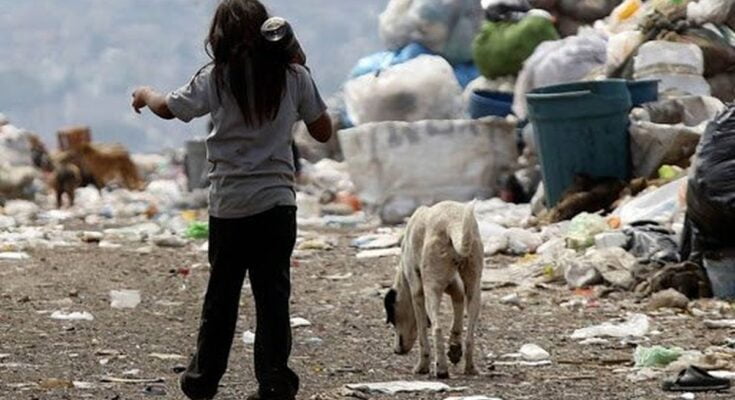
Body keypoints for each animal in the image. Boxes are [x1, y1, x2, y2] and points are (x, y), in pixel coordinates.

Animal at [384, 201, 484, 378]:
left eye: (393, 319)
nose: (396, 351)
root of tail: (453, 222)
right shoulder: (455, 286)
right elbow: (457, 313)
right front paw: (455, 349)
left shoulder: (417, 293)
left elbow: (423, 334)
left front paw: (422, 366)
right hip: (474, 287)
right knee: (470, 334)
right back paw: (470, 367)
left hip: (432, 289)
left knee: (437, 328)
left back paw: (441, 368)